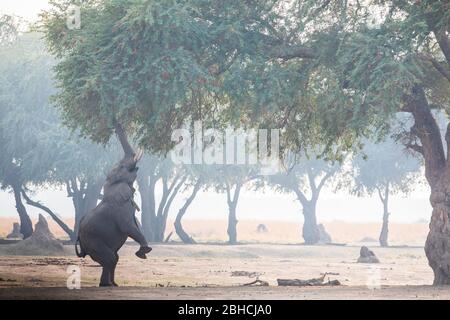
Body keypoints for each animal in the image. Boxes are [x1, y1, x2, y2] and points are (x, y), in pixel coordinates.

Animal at [74, 122, 151, 288]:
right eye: (122, 166)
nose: (117, 122)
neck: (112, 183)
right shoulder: (120, 208)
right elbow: (128, 226)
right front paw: (144, 252)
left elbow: (134, 224)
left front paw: (143, 252)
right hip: (93, 240)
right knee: (110, 258)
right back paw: (106, 285)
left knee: (114, 258)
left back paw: (113, 284)